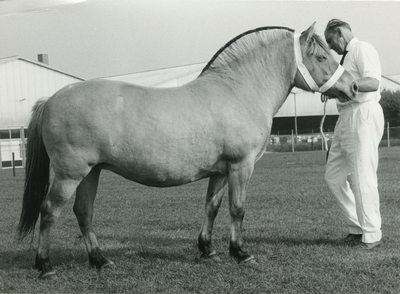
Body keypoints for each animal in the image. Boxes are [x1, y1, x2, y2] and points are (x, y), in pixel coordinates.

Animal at [18, 22, 356, 278]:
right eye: (321, 57)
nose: (352, 87)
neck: (238, 91)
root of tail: (52, 98)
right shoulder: (241, 166)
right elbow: (237, 209)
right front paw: (241, 253)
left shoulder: (220, 171)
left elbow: (212, 207)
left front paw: (208, 250)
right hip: (70, 174)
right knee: (49, 211)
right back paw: (45, 266)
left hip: (91, 172)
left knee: (83, 212)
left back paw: (100, 260)